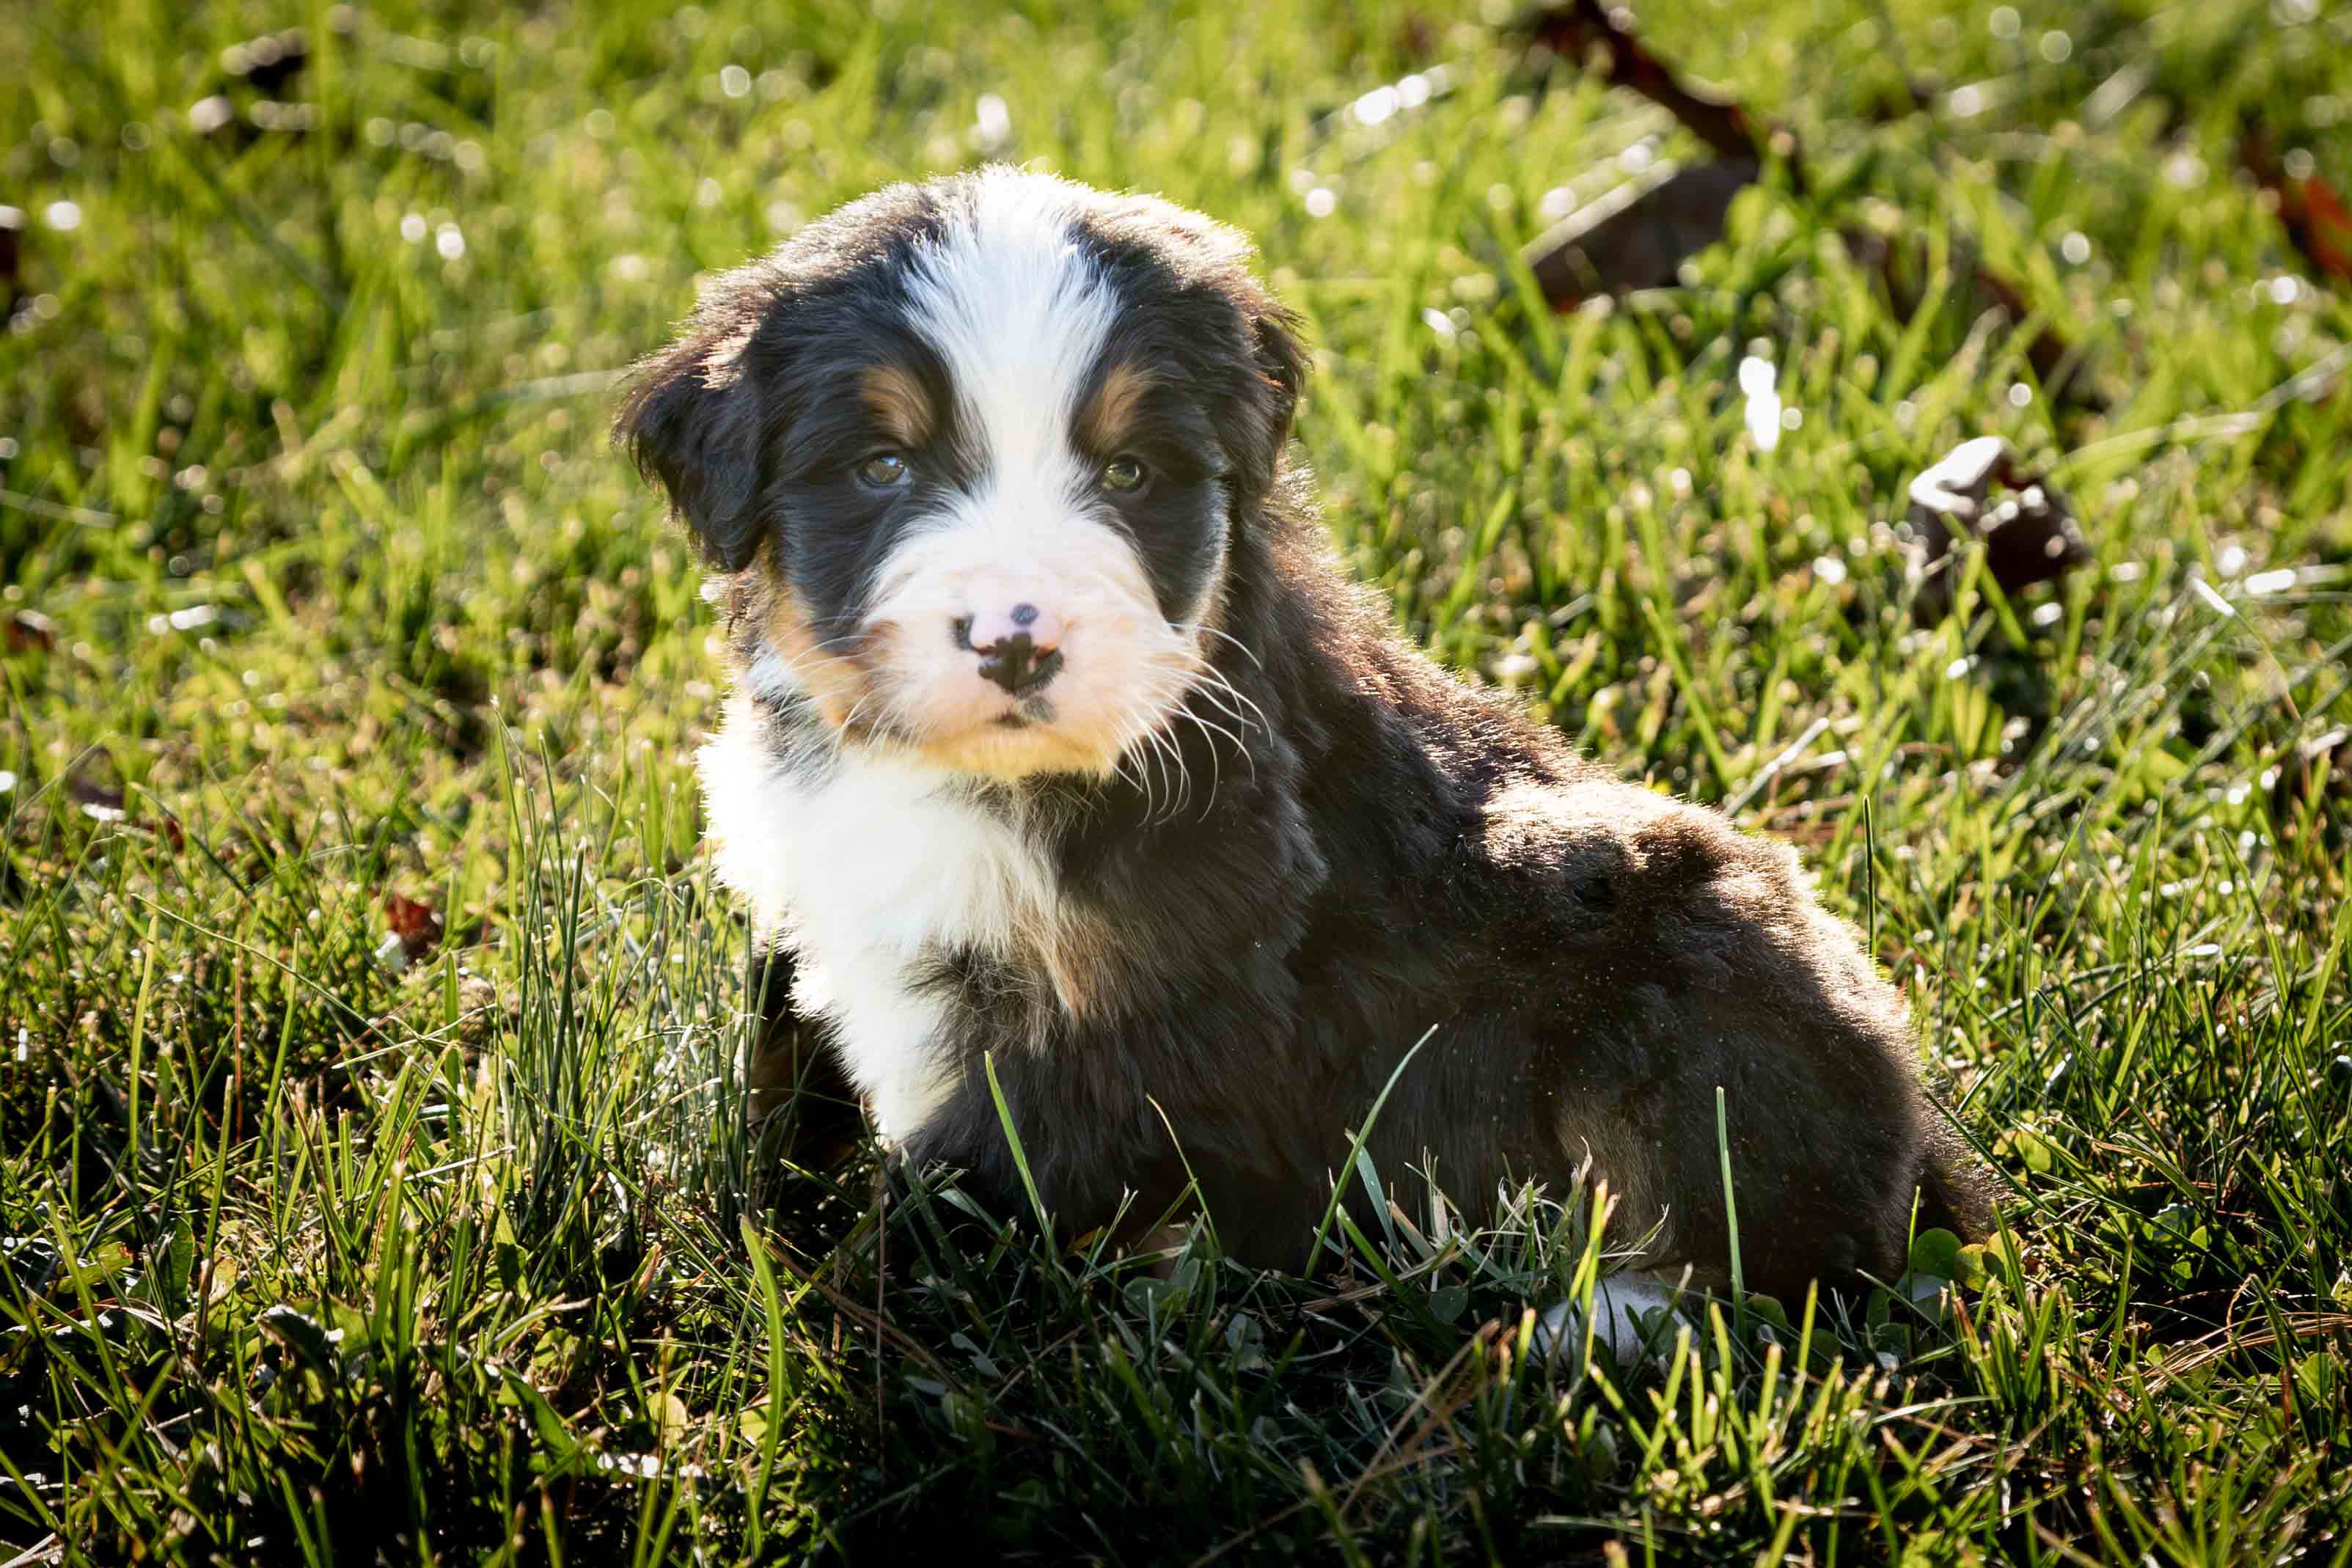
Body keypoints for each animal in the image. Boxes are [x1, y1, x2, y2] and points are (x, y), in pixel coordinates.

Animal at [620, 169, 1985, 1297]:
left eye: (1128, 473)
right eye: (882, 466)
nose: (1015, 641)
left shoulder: (1157, 1013)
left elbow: (954, 1195)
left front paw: (827, 1316)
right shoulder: (805, 904)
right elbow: (790, 1090)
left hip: (1685, 975)